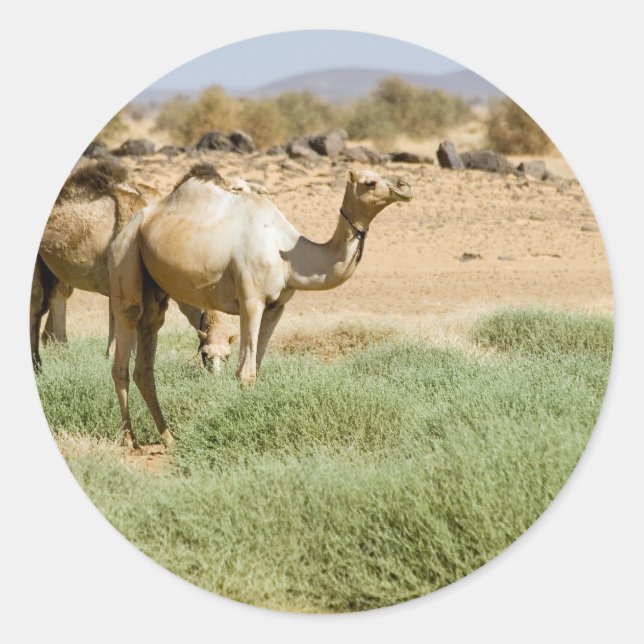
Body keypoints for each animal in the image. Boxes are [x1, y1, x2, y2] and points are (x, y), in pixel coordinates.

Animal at [108, 163, 413, 449]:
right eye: (369, 182)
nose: (405, 185)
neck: (289, 255)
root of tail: (129, 227)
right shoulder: (251, 301)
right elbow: (245, 372)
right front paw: (240, 433)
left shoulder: (276, 306)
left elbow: (256, 366)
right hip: (126, 258)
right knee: (122, 351)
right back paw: (129, 439)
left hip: (155, 289)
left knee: (146, 355)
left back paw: (169, 437)